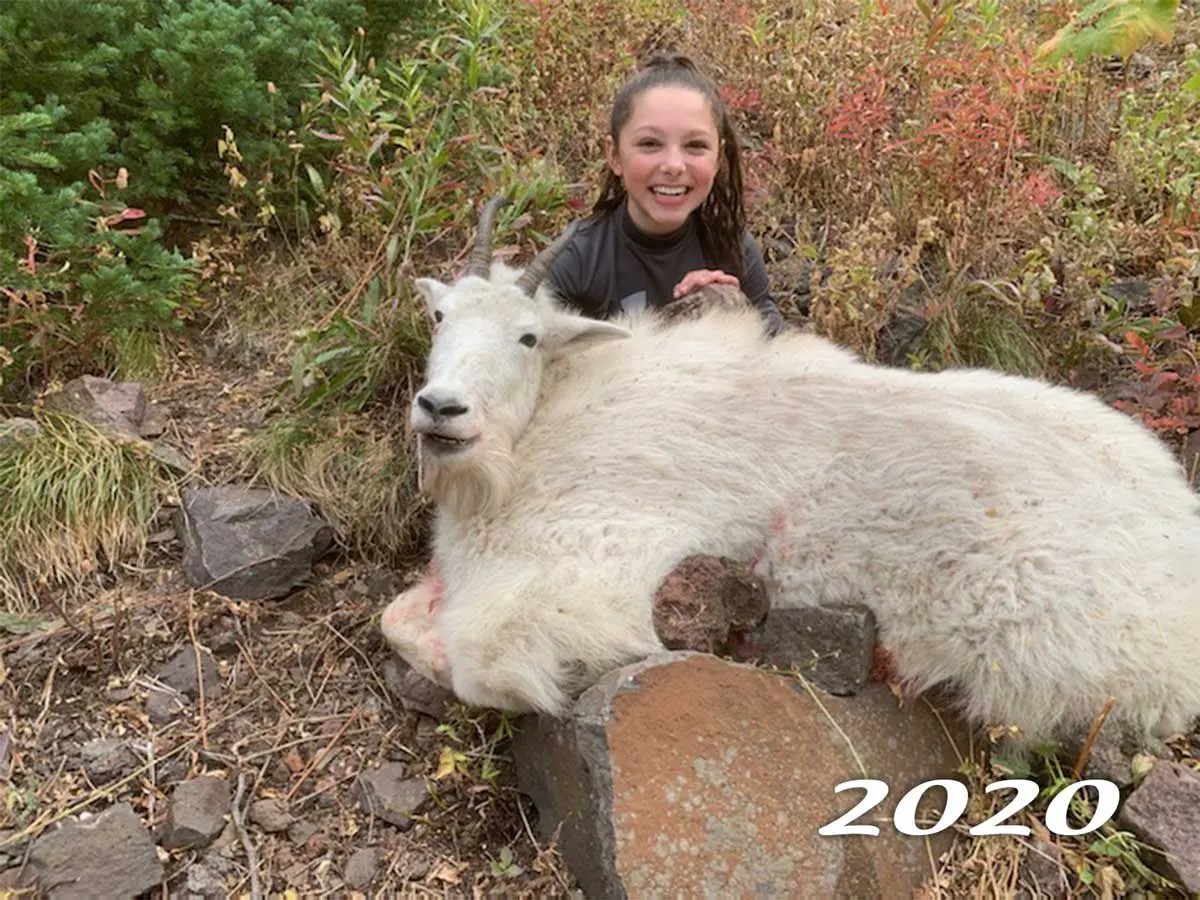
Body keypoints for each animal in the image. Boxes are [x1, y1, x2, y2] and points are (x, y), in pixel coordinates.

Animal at [381, 197, 1200, 748]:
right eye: (441, 318)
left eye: (527, 336)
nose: (441, 409)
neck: (536, 433)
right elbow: (395, 617)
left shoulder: (591, 570)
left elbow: (476, 663)